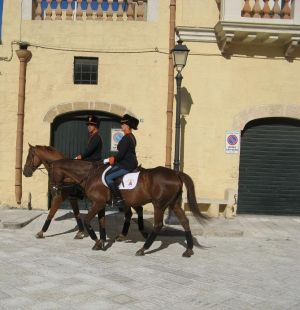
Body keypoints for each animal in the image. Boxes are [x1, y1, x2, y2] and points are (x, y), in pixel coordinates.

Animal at [49, 157, 209, 256]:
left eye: (51, 173)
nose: (53, 189)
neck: (90, 174)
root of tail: (175, 173)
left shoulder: (98, 203)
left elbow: (87, 220)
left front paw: (97, 242)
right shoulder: (100, 204)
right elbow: (102, 222)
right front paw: (101, 242)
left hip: (159, 205)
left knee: (158, 225)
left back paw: (143, 249)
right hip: (173, 203)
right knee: (184, 222)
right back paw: (188, 250)